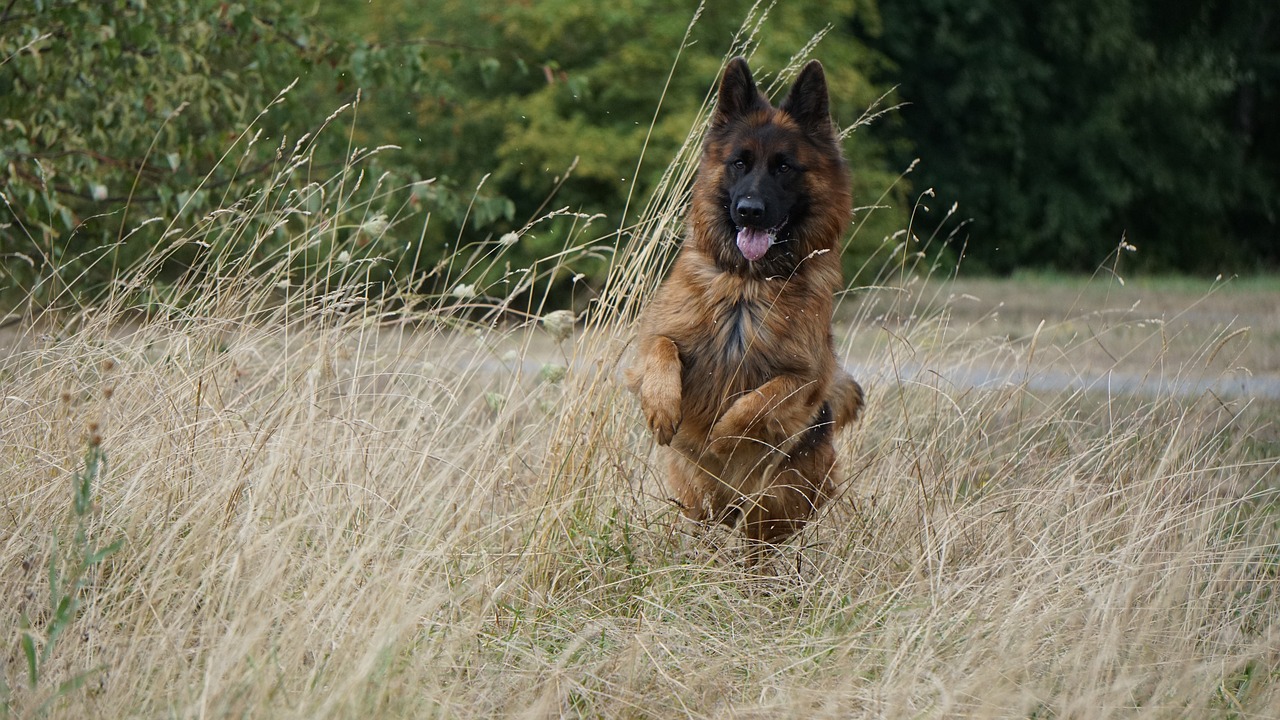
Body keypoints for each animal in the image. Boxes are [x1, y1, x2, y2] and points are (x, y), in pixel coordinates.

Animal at [627, 58, 865, 548]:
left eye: (784, 167)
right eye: (739, 163)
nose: (749, 211)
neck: (747, 285)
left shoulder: (808, 377)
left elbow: (760, 402)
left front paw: (723, 438)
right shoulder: (651, 341)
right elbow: (661, 349)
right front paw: (662, 408)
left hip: (775, 502)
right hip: (697, 499)